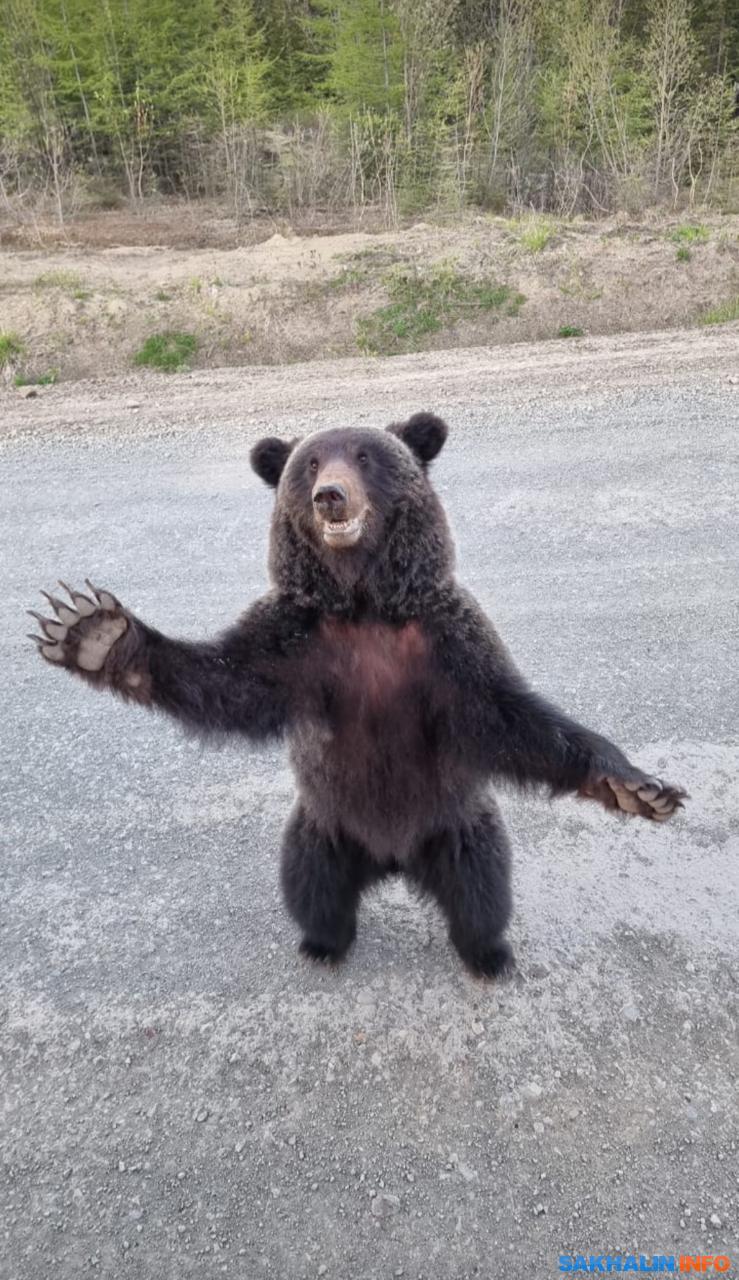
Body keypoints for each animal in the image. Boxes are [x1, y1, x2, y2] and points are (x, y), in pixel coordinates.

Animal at [28, 414, 686, 972]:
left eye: (366, 456)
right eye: (311, 463)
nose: (331, 495)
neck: (366, 606)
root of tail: (393, 860)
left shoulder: (447, 640)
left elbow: (512, 718)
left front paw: (635, 786)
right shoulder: (299, 640)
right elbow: (228, 681)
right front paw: (95, 633)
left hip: (456, 824)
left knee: (483, 888)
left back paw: (488, 953)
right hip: (323, 828)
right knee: (311, 886)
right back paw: (322, 943)